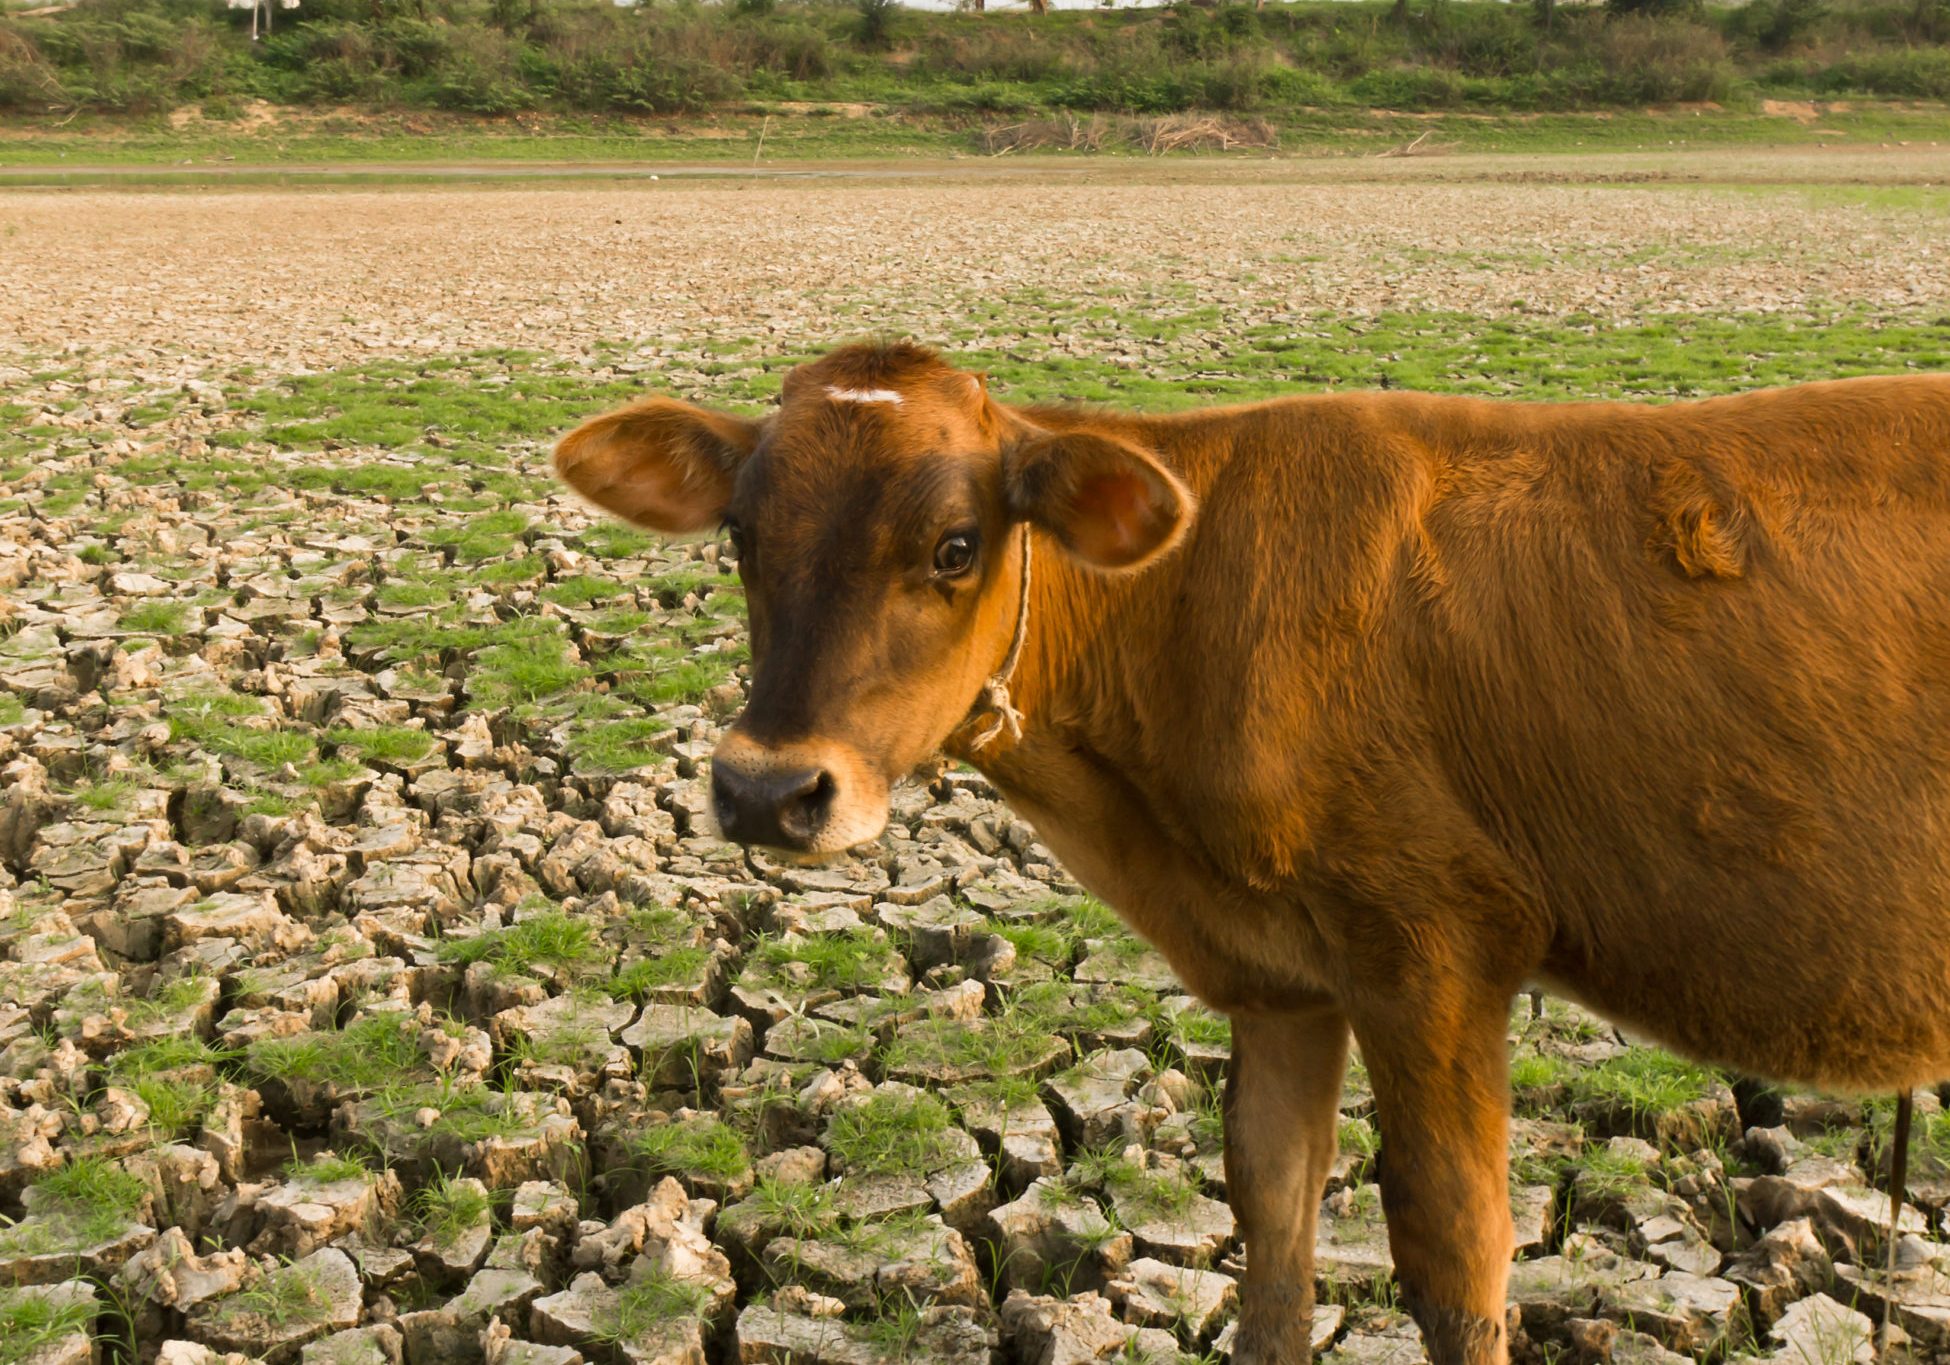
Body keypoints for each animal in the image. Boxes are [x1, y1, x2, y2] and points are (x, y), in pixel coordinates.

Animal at [549, 343, 1950, 1365]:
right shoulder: (1283, 980)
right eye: (741, 537)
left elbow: (1458, 1259)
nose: (765, 789)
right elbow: (1273, 1234)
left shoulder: (1433, 946)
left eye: (954, 546)